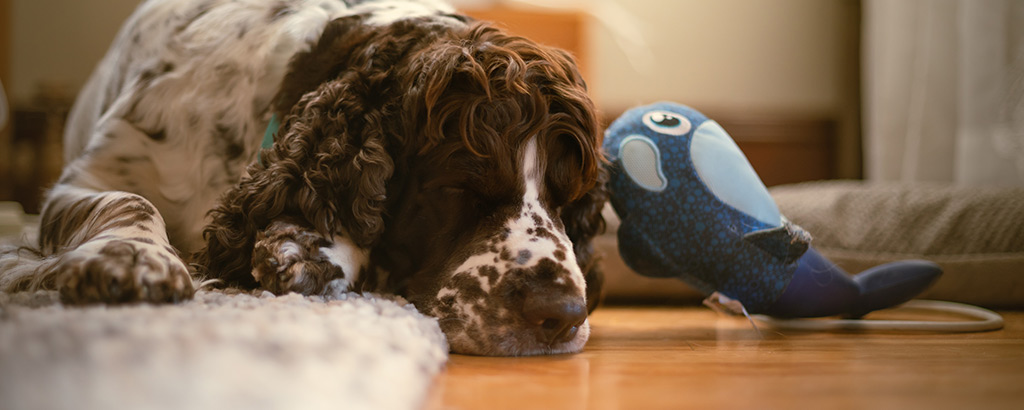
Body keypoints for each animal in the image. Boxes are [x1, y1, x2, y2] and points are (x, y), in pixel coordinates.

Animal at [0, 0, 602, 354]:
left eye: (570, 201)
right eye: (460, 186)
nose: (563, 315)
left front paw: (312, 247)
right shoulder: (81, 179)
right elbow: (131, 202)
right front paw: (132, 259)